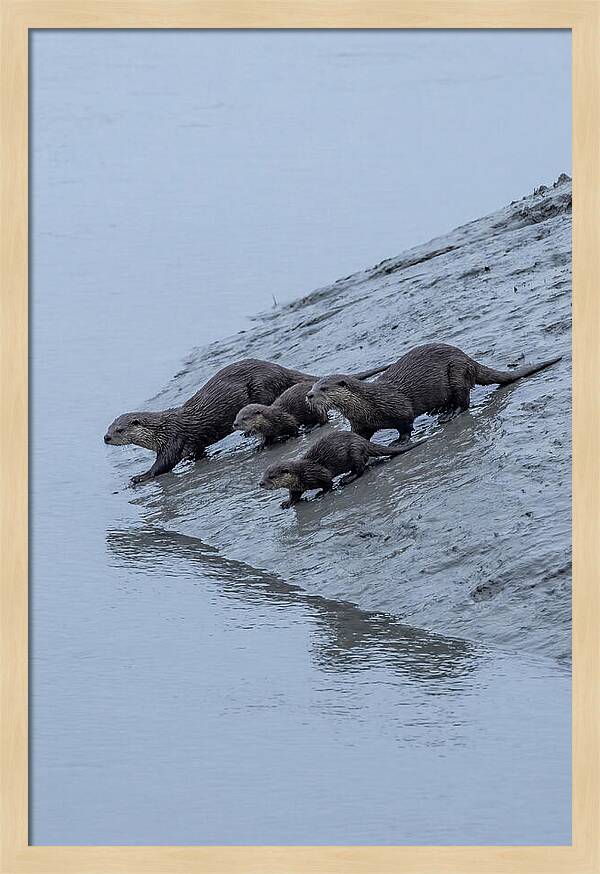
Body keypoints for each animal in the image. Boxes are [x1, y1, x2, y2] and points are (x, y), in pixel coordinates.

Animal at [233, 365, 389, 446]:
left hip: (315, 408)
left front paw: (292, 436)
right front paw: (262, 445)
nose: (235, 424)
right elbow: (267, 438)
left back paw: (312, 427)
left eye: (244, 418)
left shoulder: (286, 419)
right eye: (236, 416)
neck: (271, 420)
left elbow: (293, 428)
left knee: (323, 419)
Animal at [259, 431, 425, 508]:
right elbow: (294, 496)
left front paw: (321, 493)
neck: (301, 474)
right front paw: (287, 503)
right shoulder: (296, 487)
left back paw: (347, 479)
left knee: (361, 468)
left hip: (354, 452)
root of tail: (362, 441)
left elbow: (328, 483)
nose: (261, 484)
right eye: (264, 475)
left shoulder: (318, 473)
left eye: (271, 476)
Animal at [307, 343, 562, 441]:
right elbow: (360, 437)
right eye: (312, 387)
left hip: (457, 372)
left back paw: (450, 413)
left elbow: (406, 424)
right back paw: (440, 410)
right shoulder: (361, 424)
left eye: (323, 388)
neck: (368, 404)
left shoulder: (398, 407)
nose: (309, 396)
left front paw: (400, 441)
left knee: (464, 400)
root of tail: (468, 359)